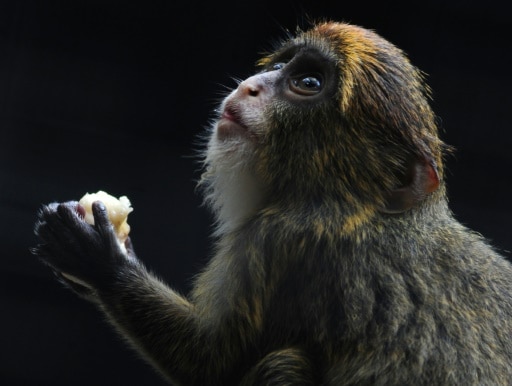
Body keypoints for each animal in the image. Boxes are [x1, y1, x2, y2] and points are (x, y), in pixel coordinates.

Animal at [32, 21, 512, 386]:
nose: (250, 86)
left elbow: (207, 361)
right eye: (282, 65)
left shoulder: (283, 238)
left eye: (308, 83)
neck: (364, 207)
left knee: (284, 361)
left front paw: (101, 261)